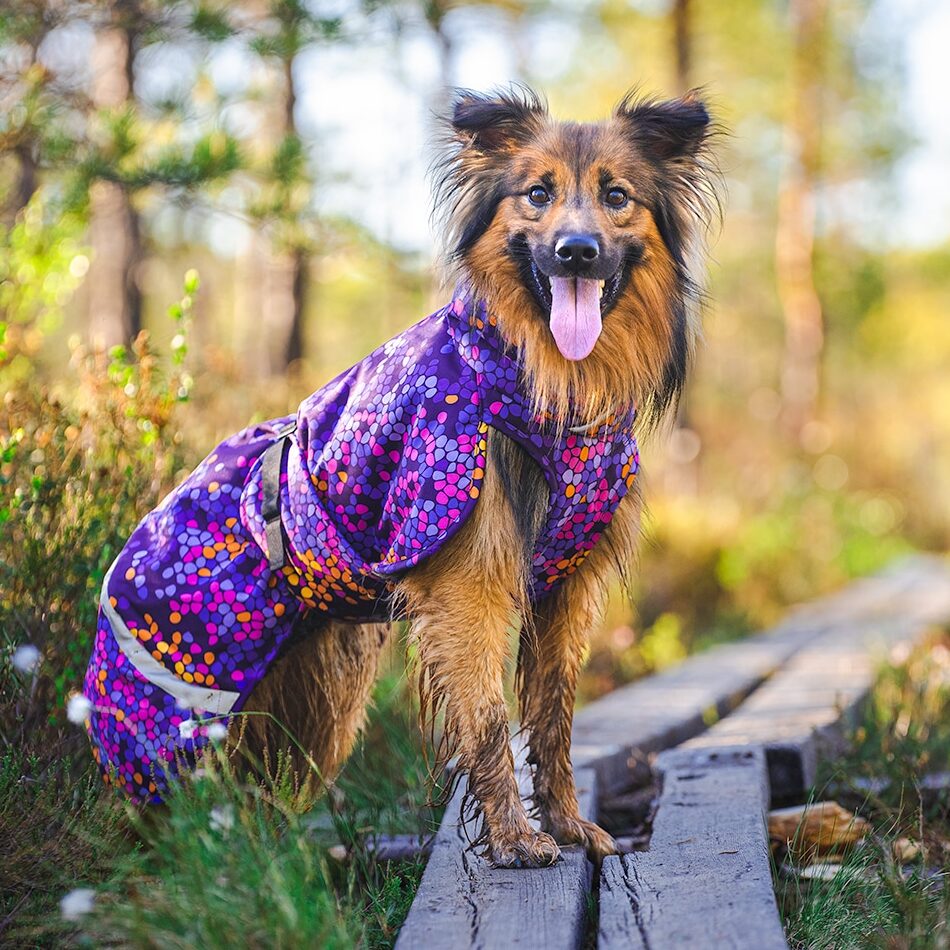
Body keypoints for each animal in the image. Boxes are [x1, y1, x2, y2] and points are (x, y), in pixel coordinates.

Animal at [83, 87, 720, 872]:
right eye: (538, 194)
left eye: (617, 196)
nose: (578, 251)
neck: (547, 384)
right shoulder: (468, 581)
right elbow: (488, 716)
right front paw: (513, 838)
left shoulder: (565, 590)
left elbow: (552, 716)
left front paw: (570, 825)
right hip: (187, 706)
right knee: (176, 814)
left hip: (312, 704)